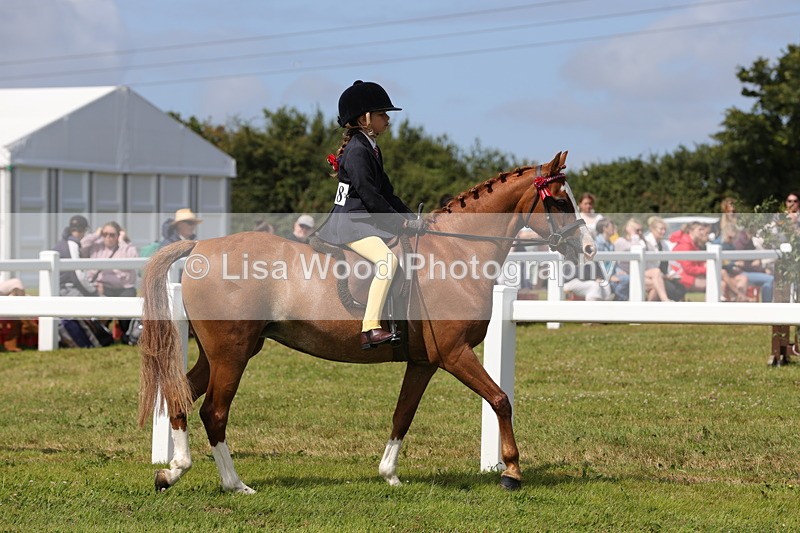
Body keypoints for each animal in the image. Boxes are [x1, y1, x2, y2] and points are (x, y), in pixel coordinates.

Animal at [138, 151, 596, 493]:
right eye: (559, 201)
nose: (589, 249)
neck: (456, 255)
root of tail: (201, 246)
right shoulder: (455, 354)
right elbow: (500, 399)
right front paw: (512, 472)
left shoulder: (424, 361)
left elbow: (402, 415)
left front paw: (389, 475)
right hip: (231, 354)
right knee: (214, 411)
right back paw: (234, 484)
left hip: (221, 352)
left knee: (180, 397)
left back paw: (171, 472)